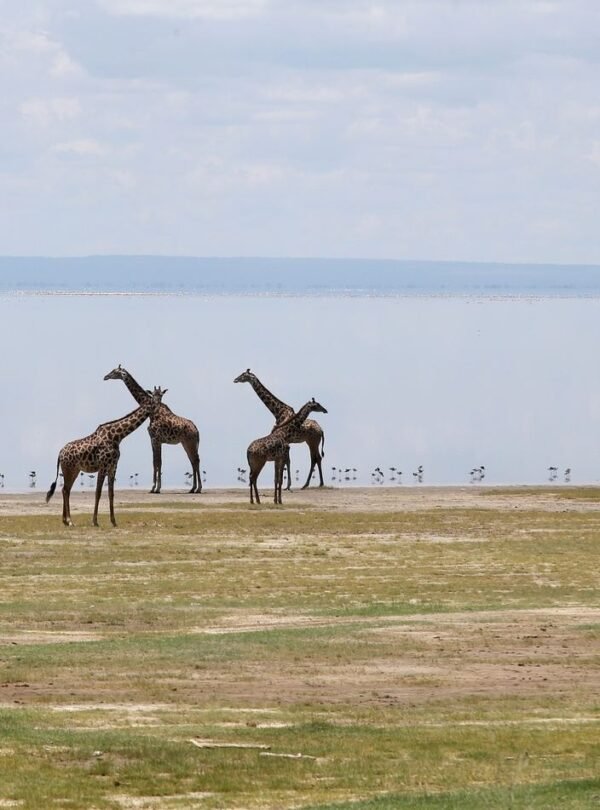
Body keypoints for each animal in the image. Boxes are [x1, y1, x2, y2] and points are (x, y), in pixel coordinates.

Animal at [46, 387, 164, 527]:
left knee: (66, 489)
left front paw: (113, 521)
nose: (159, 409)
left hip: (74, 470)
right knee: (65, 490)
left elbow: (111, 493)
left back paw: (66, 520)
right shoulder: (103, 466)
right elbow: (98, 492)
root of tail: (60, 453)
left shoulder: (113, 467)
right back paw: (69, 520)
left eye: (161, 397)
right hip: (68, 470)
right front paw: (95, 521)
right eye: (154, 399)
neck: (118, 436)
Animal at [103, 365, 202, 494]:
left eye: (115, 371)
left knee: (195, 460)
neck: (152, 412)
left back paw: (198, 488)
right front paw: (155, 487)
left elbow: (158, 462)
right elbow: (155, 462)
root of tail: (196, 429)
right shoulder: (152, 439)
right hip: (186, 443)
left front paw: (155, 488)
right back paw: (193, 488)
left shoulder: (156, 439)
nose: (105, 376)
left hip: (190, 442)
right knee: (193, 461)